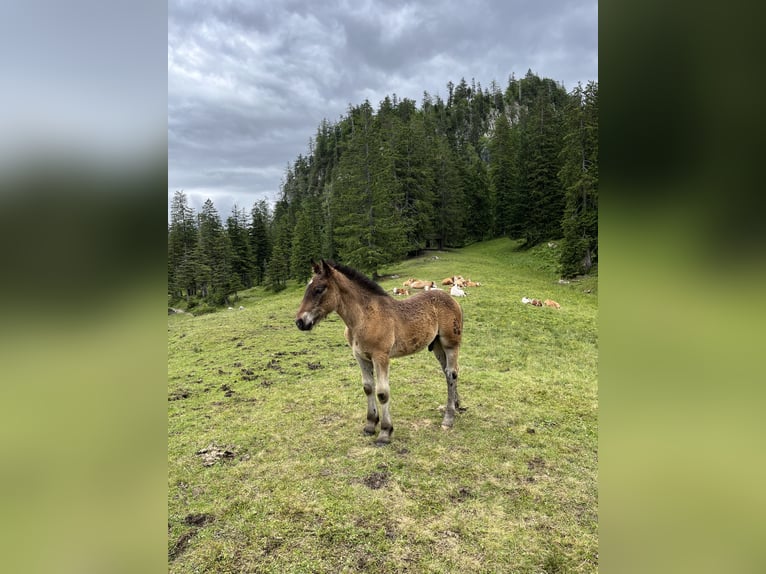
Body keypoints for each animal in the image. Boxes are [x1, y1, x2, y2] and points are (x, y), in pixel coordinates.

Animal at [294, 260, 462, 446]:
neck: (364, 318)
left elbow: (382, 393)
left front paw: (385, 432)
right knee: (448, 372)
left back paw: (448, 418)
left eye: (319, 289)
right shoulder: (360, 357)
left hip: (450, 344)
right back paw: (456, 405)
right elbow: (368, 387)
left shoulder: (381, 357)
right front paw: (370, 425)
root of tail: (451, 299)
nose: (300, 322)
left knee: (451, 373)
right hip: (437, 346)